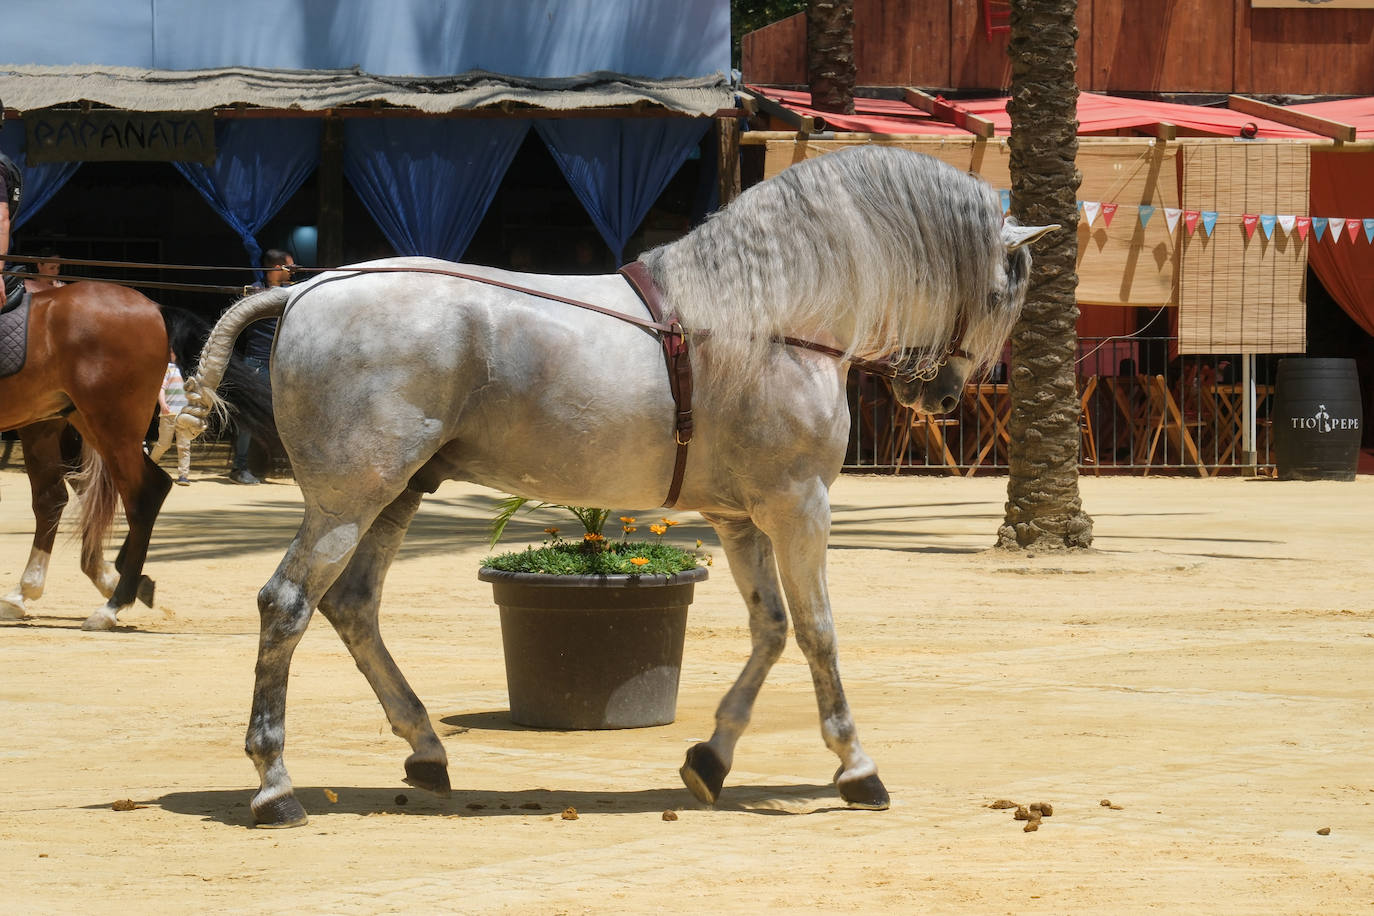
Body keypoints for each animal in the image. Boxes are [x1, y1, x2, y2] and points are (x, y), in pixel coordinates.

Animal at [0, 282, 273, 631]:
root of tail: (154, 307)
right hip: (74, 421)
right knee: (90, 494)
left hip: (109, 425)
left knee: (141, 496)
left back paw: (113, 603)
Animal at [185, 146, 1049, 829]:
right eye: (1007, 291)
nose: (939, 396)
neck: (774, 320)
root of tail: (305, 290)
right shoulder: (798, 508)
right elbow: (817, 632)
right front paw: (856, 767)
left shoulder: (740, 519)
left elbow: (770, 630)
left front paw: (711, 759)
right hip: (348, 501)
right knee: (287, 605)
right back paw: (276, 787)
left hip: (396, 495)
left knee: (353, 607)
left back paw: (426, 750)